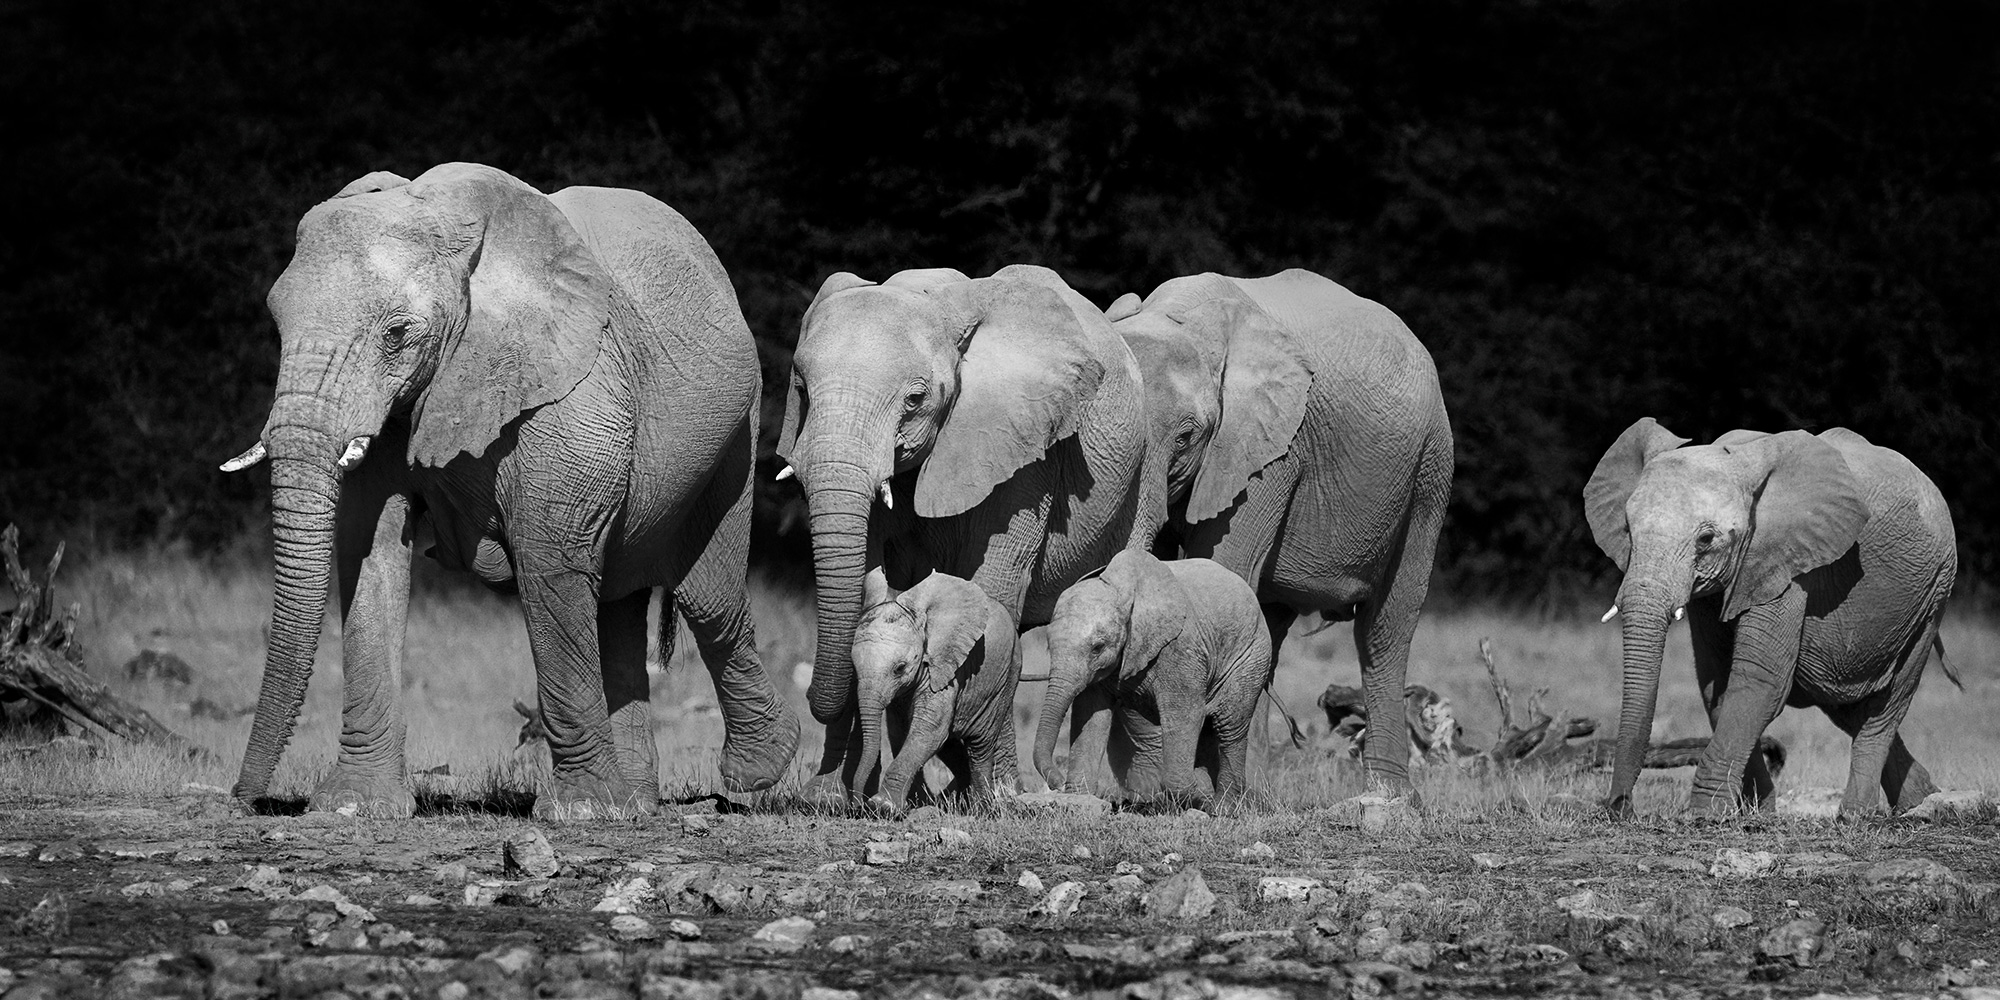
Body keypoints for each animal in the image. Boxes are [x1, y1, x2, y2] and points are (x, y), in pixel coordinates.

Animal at [221, 162, 799, 820]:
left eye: (398, 334)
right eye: (277, 323)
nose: (243, 800)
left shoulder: (570, 387)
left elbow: (550, 558)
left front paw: (581, 812)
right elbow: (370, 551)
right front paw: (351, 808)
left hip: (737, 431)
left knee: (709, 599)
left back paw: (754, 772)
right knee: (619, 601)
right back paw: (636, 804)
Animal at [850, 571, 1022, 815]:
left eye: (900, 668)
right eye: (854, 667)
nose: (858, 805)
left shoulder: (946, 670)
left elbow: (928, 730)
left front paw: (884, 807)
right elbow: (904, 729)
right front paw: (894, 806)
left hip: (1007, 675)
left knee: (979, 745)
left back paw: (980, 809)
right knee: (950, 745)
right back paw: (962, 803)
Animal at [1036, 550, 1274, 802]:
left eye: (1097, 648)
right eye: (1049, 646)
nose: (1057, 783)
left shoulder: (1181, 650)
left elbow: (1185, 714)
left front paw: (1193, 794)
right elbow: (1091, 716)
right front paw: (1079, 798)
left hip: (1251, 656)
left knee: (1230, 726)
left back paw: (1222, 804)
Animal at [1105, 269, 1453, 795]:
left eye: (1186, 437)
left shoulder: (1272, 451)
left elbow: (1219, 568)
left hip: (1431, 467)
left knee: (1385, 629)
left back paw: (1388, 795)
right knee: (1269, 624)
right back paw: (1252, 789)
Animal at [1584, 418, 1959, 819]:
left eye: (1705, 539)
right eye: (1628, 530)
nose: (1620, 808)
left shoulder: (1787, 561)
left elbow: (1759, 680)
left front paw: (1706, 816)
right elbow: (1717, 684)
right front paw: (1758, 813)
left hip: (1935, 591)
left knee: (1886, 704)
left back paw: (1855, 816)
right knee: (1844, 704)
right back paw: (1923, 800)